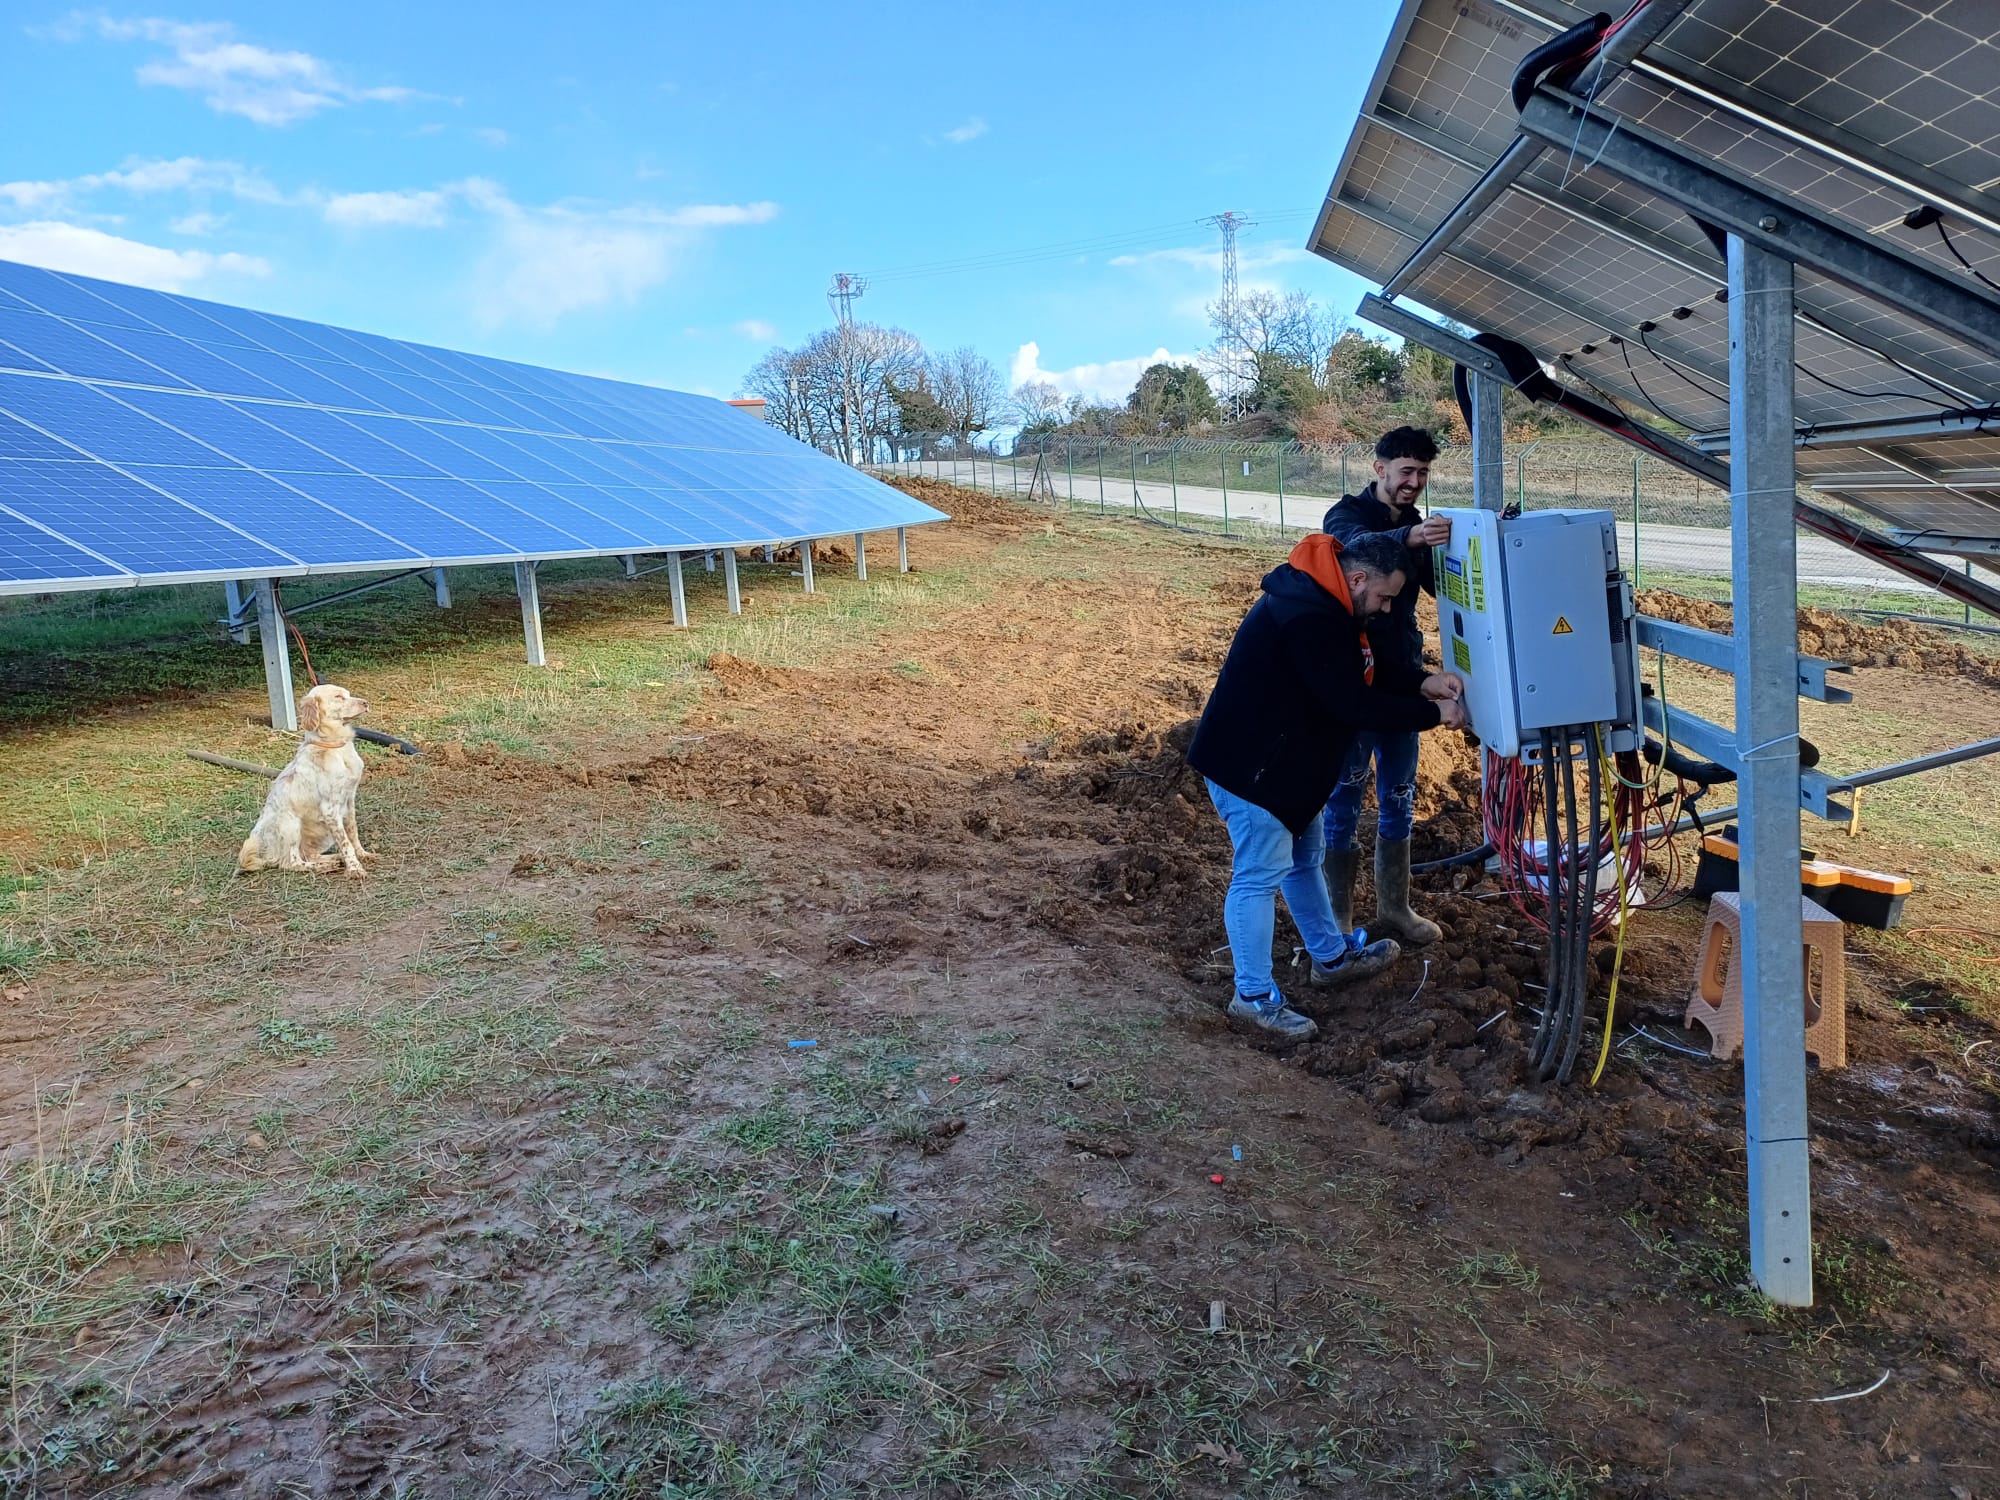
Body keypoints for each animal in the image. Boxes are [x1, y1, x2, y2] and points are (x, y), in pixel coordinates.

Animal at [237, 684, 376, 880]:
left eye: (348, 694)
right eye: (338, 697)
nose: (366, 703)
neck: (336, 748)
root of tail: (263, 850)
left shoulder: (349, 799)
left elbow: (352, 833)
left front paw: (362, 854)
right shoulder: (330, 808)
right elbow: (345, 842)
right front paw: (355, 868)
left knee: (309, 854)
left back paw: (334, 859)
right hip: (290, 824)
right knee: (292, 862)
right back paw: (324, 866)